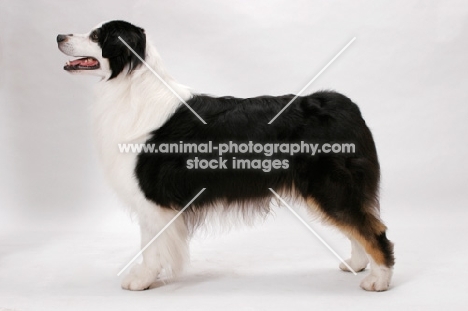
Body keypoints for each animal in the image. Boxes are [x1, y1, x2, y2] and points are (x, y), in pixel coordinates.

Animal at [58, 20, 394, 292]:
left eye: (96, 35)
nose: (59, 36)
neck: (130, 86)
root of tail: (347, 106)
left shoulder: (152, 196)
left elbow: (150, 244)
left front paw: (142, 280)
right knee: (356, 225)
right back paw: (356, 263)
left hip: (329, 185)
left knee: (373, 229)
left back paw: (379, 280)